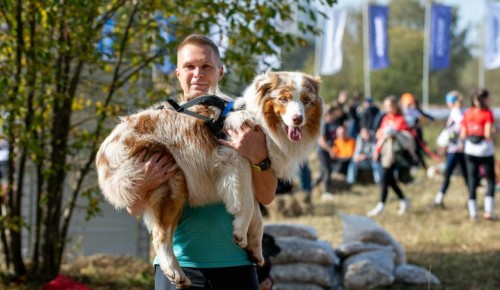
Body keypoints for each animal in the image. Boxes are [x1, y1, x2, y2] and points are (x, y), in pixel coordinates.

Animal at [95, 70, 324, 288]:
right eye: (284, 99)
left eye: (306, 100)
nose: (297, 119)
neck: (259, 120)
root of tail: (104, 152)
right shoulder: (234, 160)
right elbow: (248, 205)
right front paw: (240, 231)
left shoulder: (251, 171)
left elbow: (258, 215)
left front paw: (255, 248)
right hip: (170, 179)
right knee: (160, 237)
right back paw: (175, 272)